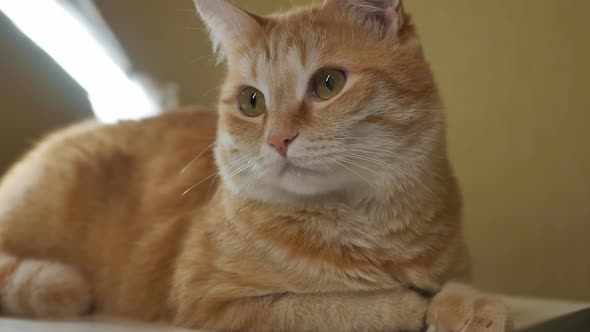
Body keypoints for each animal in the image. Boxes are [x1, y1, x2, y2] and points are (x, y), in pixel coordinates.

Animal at [0, 0, 512, 330]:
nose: (278, 139)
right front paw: (410, 305)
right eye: (252, 102)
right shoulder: (217, 304)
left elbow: (462, 285)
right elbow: (340, 308)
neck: (373, 228)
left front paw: (471, 304)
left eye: (329, 83)